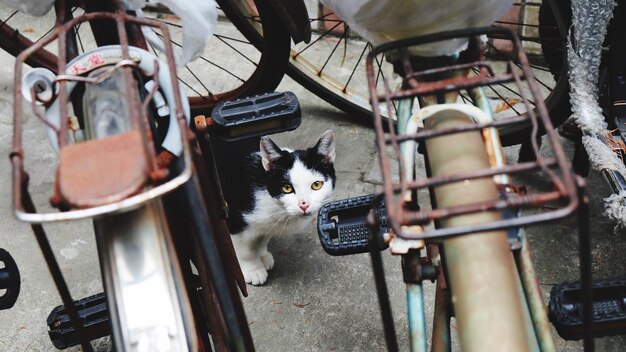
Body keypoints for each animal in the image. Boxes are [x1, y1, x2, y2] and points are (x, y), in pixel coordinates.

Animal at [223, 131, 334, 284]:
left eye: (316, 185)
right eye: (287, 188)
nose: (304, 204)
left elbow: (263, 238)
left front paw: (262, 256)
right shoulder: (233, 219)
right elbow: (245, 250)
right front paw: (252, 269)